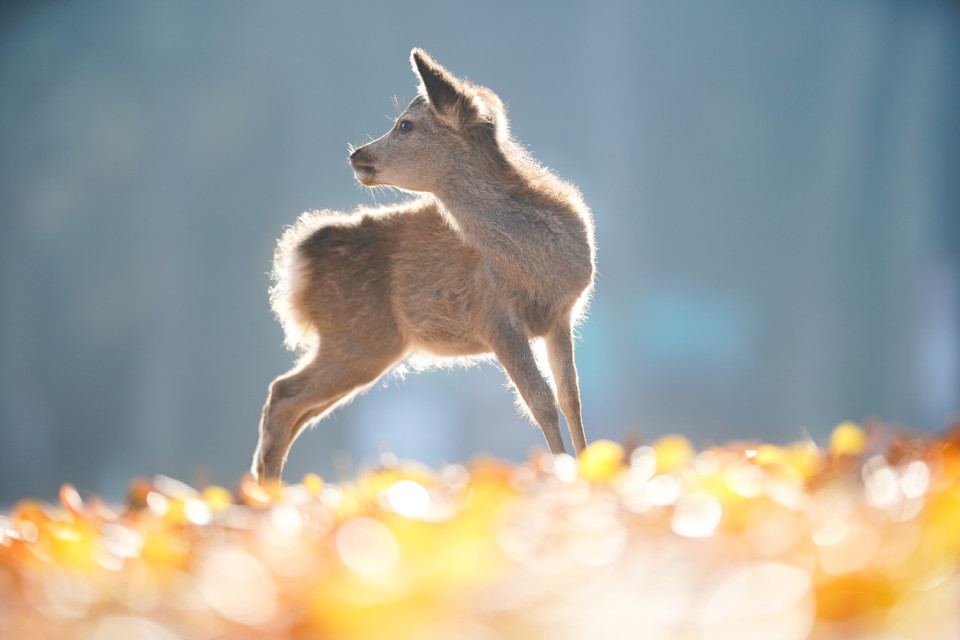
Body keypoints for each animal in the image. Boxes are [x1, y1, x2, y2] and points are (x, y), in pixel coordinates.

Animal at [251, 48, 596, 480]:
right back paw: (265, 490)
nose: (356, 155)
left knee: (295, 405)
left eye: (405, 125)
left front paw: (588, 469)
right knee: (283, 395)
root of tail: (299, 259)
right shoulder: (492, 316)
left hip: (360, 343)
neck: (538, 267)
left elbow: (571, 398)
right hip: (358, 337)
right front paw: (562, 474)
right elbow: (541, 402)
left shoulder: (560, 315)